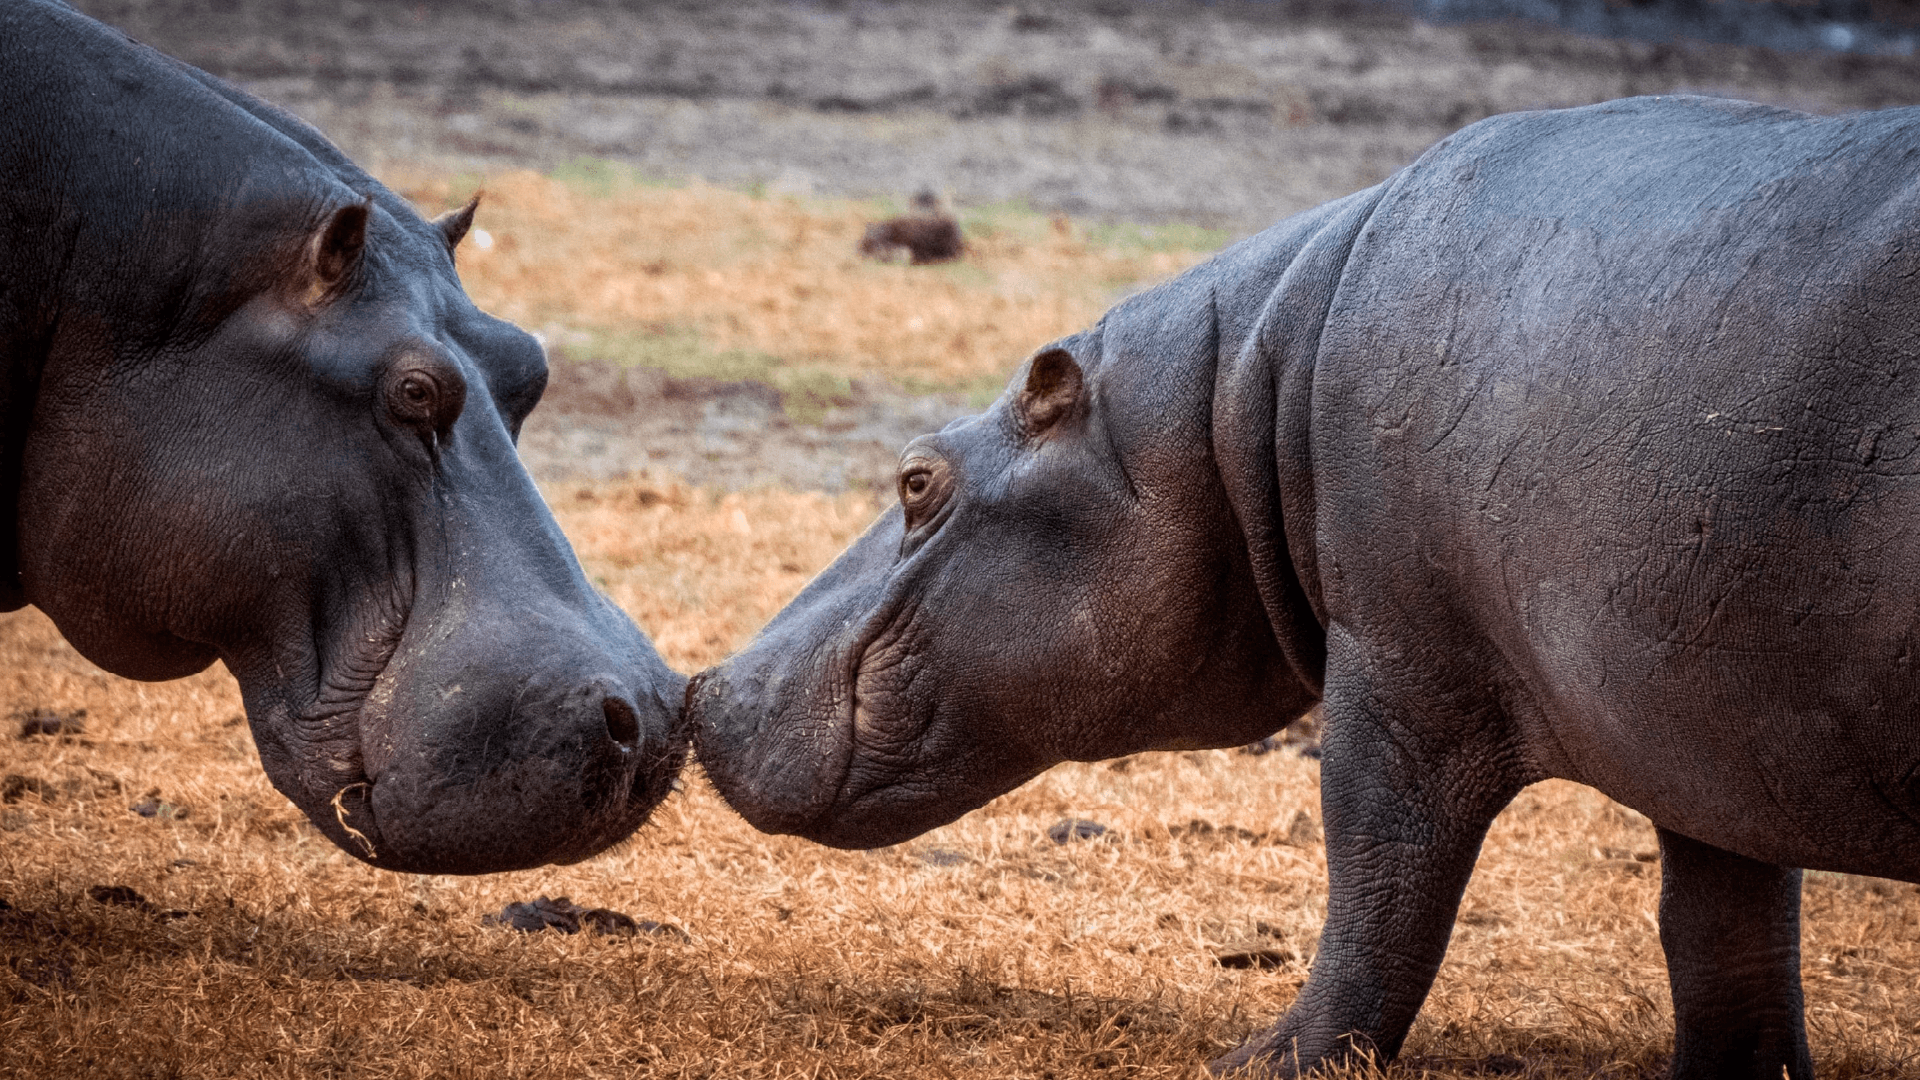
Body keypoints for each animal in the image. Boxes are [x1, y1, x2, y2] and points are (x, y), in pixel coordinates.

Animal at [690, 95, 1920, 1079]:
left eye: (917, 478)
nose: (706, 685)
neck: (1229, 400)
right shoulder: (1699, 724)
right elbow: (1721, 930)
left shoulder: (1404, 673)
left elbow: (1380, 876)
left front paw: (1260, 1059)